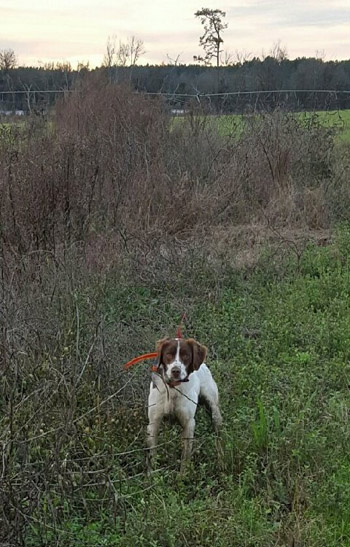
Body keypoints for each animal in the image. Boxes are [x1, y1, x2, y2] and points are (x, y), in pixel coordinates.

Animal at [146, 336, 223, 474]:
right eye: (168, 354)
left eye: (186, 355)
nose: (175, 371)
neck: (172, 389)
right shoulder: (153, 422)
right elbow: (152, 454)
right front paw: (151, 475)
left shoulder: (188, 423)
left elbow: (185, 455)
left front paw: (182, 475)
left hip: (214, 408)